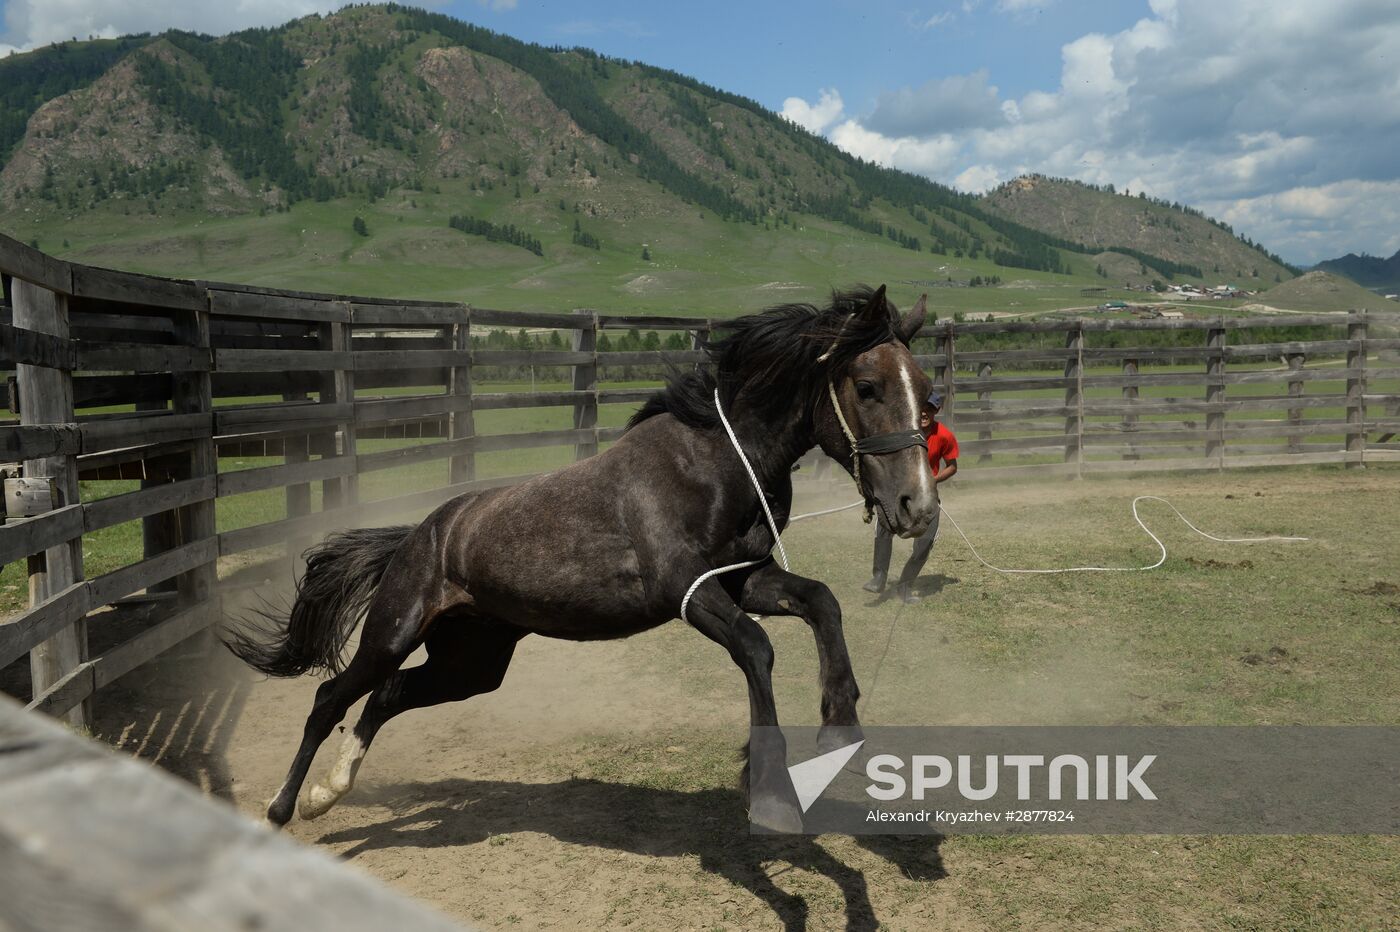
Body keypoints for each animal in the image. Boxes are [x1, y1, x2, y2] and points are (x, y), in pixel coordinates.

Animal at [224, 282, 935, 828]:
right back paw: (286, 805)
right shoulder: (690, 592)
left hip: (472, 660)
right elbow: (757, 649)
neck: (713, 462)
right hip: (394, 631)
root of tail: (420, 534)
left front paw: (841, 723)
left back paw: (329, 792)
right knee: (331, 698)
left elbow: (822, 601)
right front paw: (772, 795)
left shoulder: (741, 580)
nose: (917, 505)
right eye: (867, 386)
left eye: (926, 390)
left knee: (389, 695)